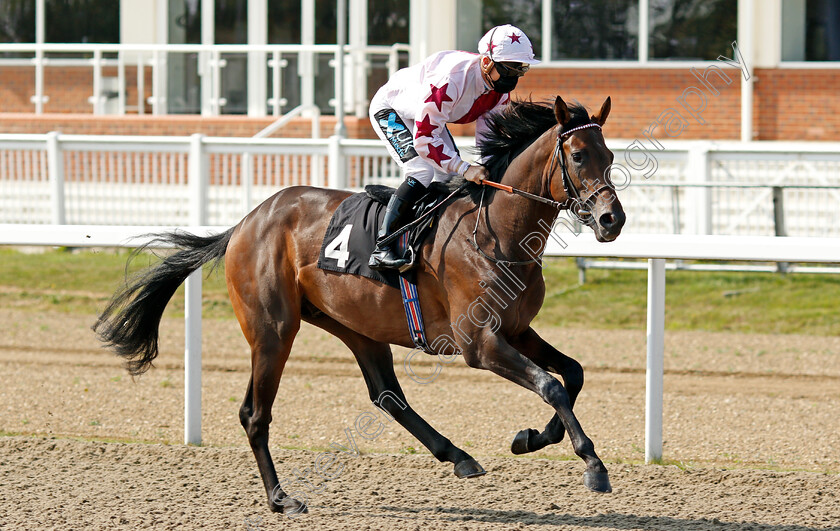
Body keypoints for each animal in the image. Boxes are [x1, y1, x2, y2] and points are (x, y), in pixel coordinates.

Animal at [97, 96, 624, 516]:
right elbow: (551, 385)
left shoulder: (516, 330)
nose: (611, 219)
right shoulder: (480, 343)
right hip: (273, 330)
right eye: (578, 155)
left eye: (610, 155)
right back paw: (281, 498)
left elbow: (572, 374)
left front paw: (533, 438)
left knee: (387, 396)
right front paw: (592, 464)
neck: (497, 231)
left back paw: (458, 457)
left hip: (357, 326)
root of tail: (246, 221)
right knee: (254, 413)